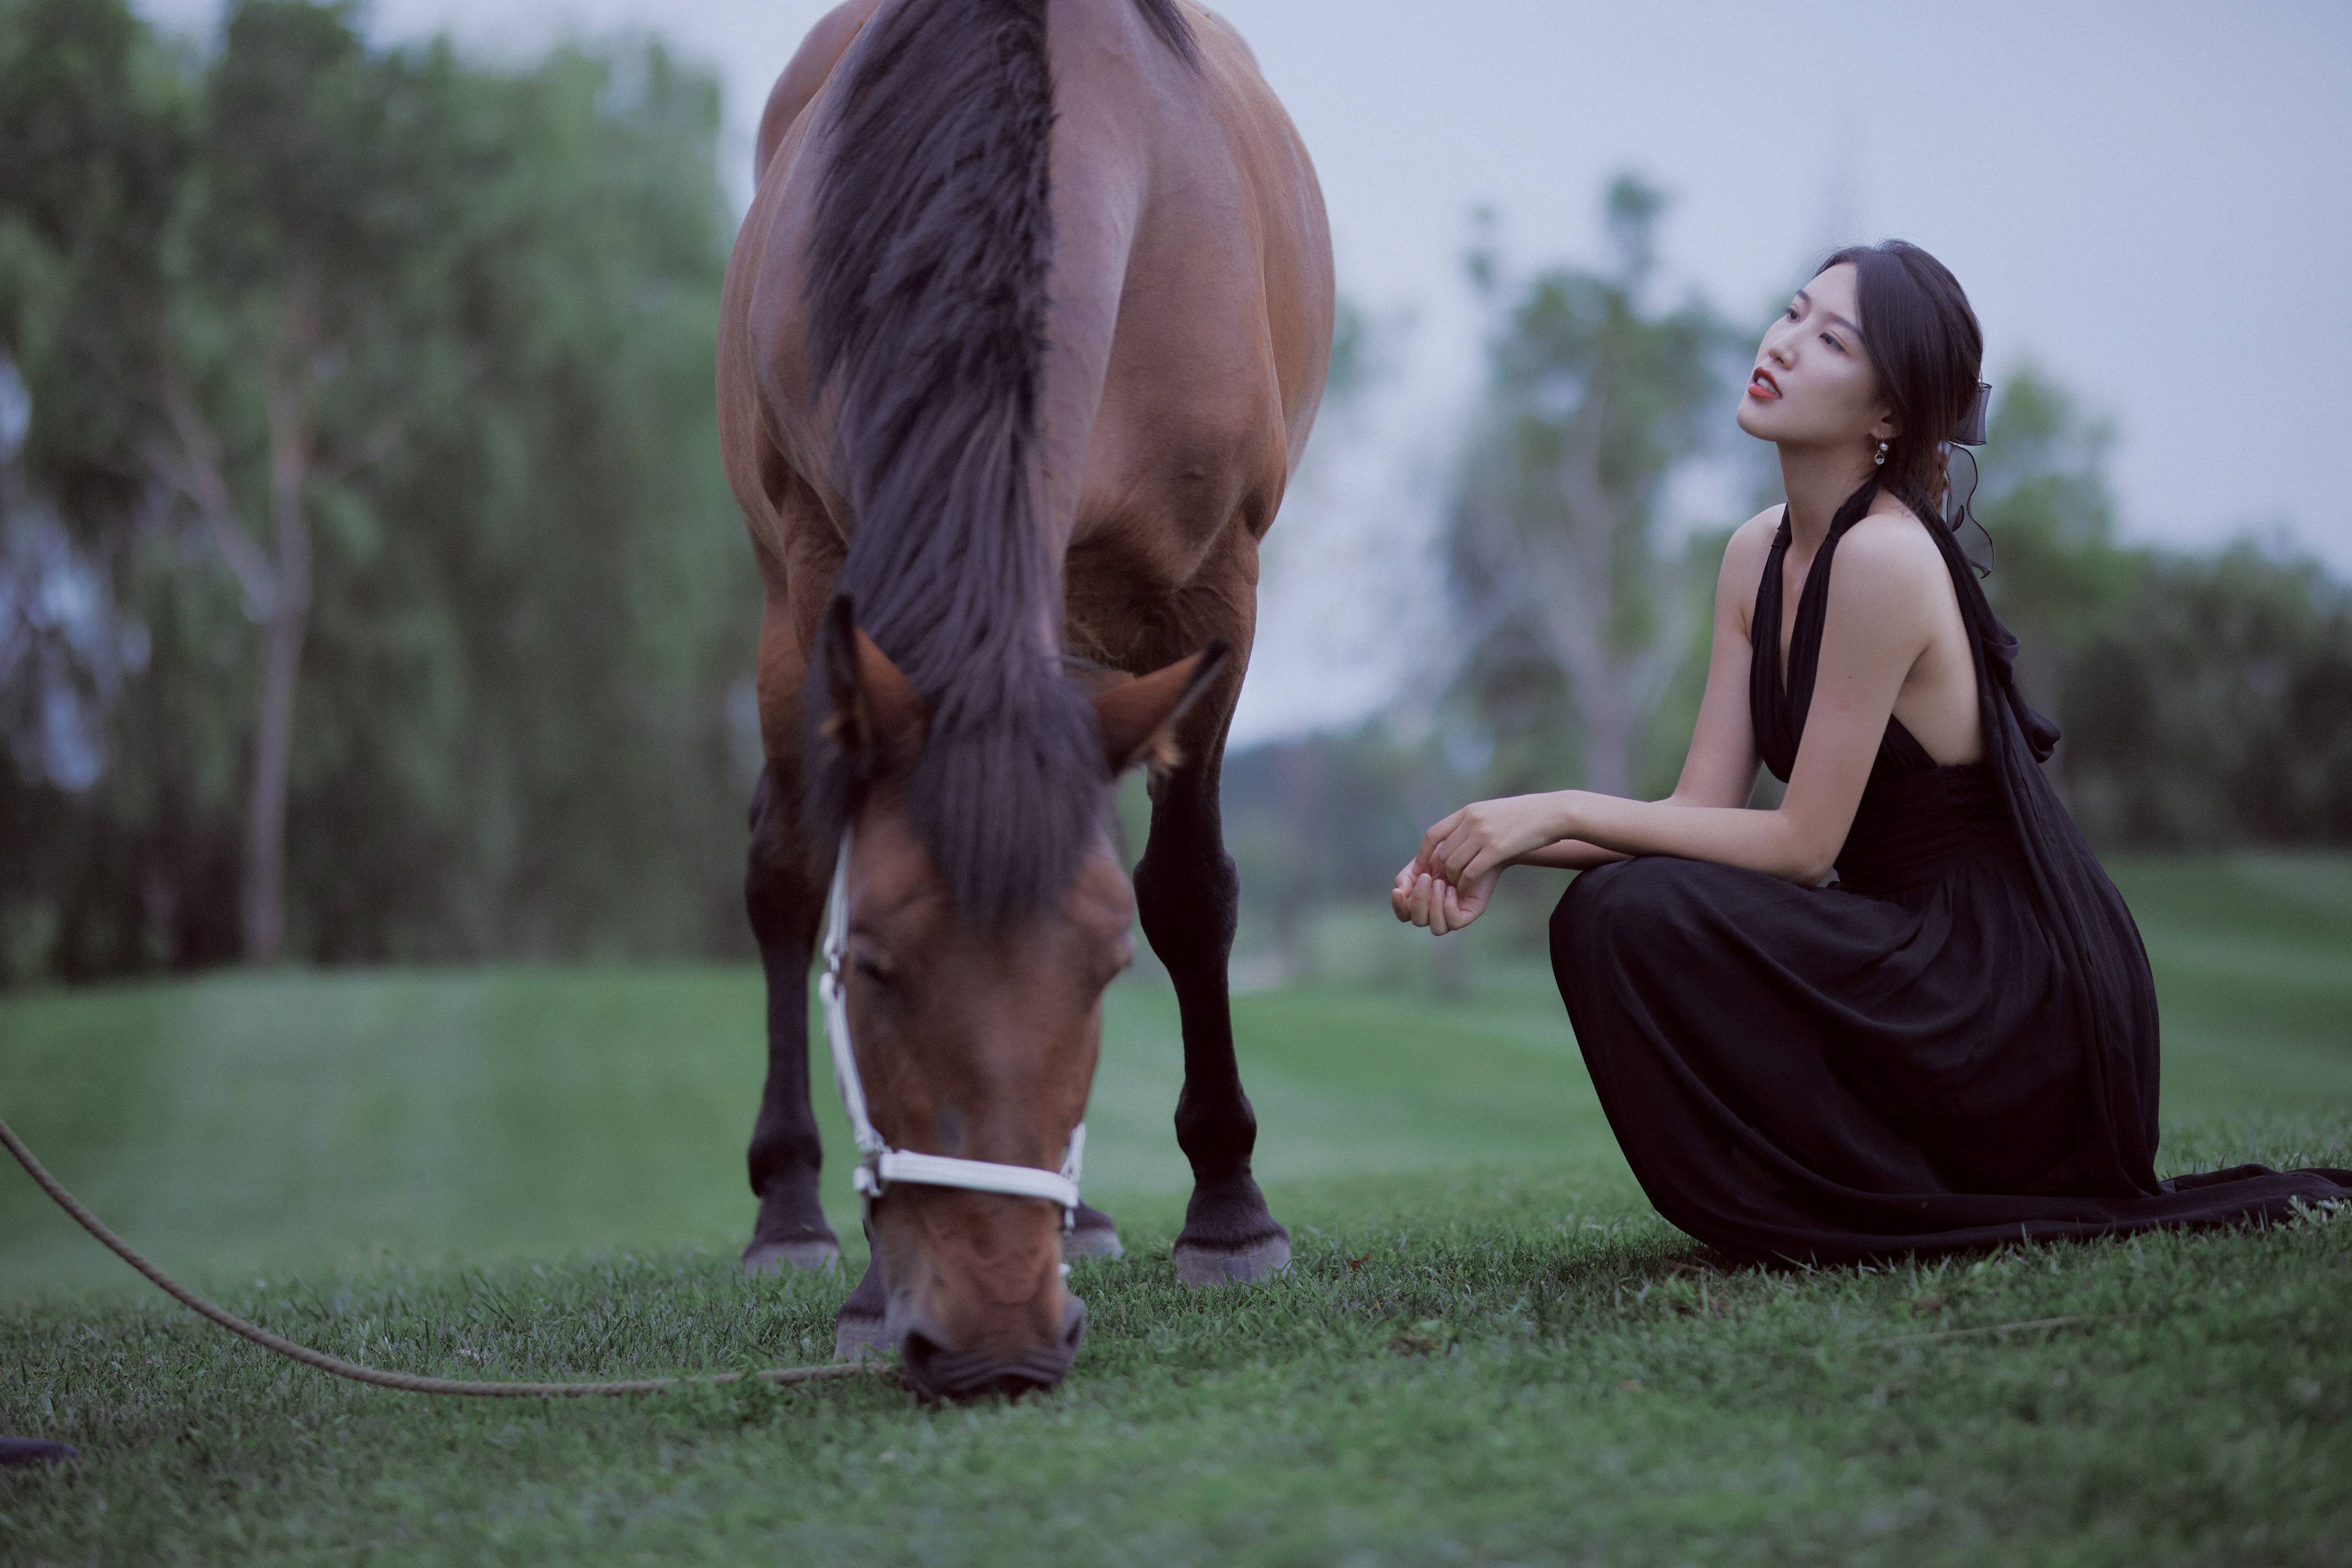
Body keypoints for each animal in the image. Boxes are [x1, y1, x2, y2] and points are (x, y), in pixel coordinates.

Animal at [706, 0, 1336, 1401]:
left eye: (1101, 971)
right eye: (872, 972)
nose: (994, 1339)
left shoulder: (1217, 594)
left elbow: (1189, 892)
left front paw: (1230, 1213)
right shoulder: (829, 575)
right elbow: (812, 872)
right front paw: (866, 1282)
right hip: (781, 606)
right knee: (779, 867)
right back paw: (788, 1215)